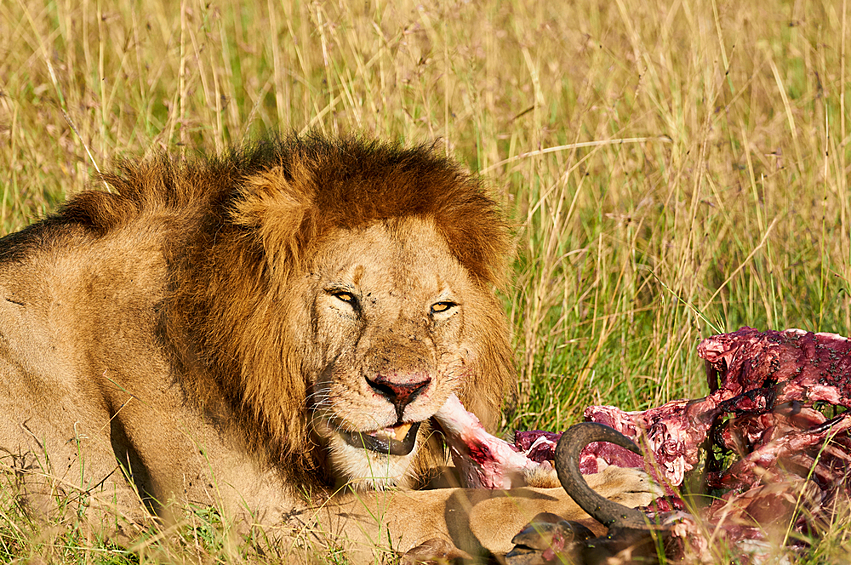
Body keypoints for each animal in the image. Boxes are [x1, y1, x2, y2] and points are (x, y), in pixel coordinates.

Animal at [0, 133, 660, 560]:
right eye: (345, 298)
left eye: (440, 308)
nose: (403, 390)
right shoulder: (242, 526)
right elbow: (455, 505)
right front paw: (627, 492)